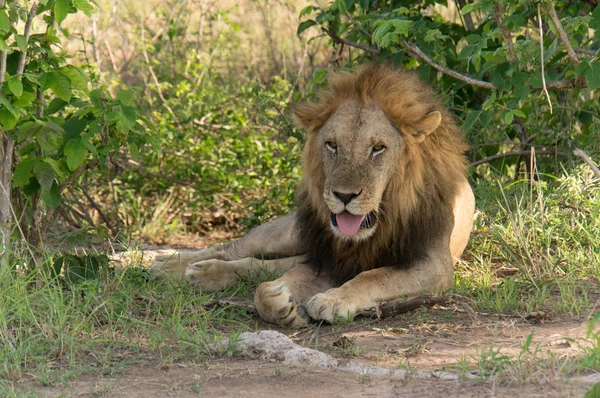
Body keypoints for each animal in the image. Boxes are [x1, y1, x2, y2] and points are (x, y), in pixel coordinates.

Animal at [152, 63, 476, 328]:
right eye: (332, 145)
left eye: (378, 148)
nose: (344, 195)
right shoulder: (330, 259)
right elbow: (265, 290)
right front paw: (281, 302)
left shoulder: (433, 264)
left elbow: (374, 276)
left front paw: (331, 300)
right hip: (287, 233)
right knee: (233, 249)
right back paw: (169, 266)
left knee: (257, 264)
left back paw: (198, 273)